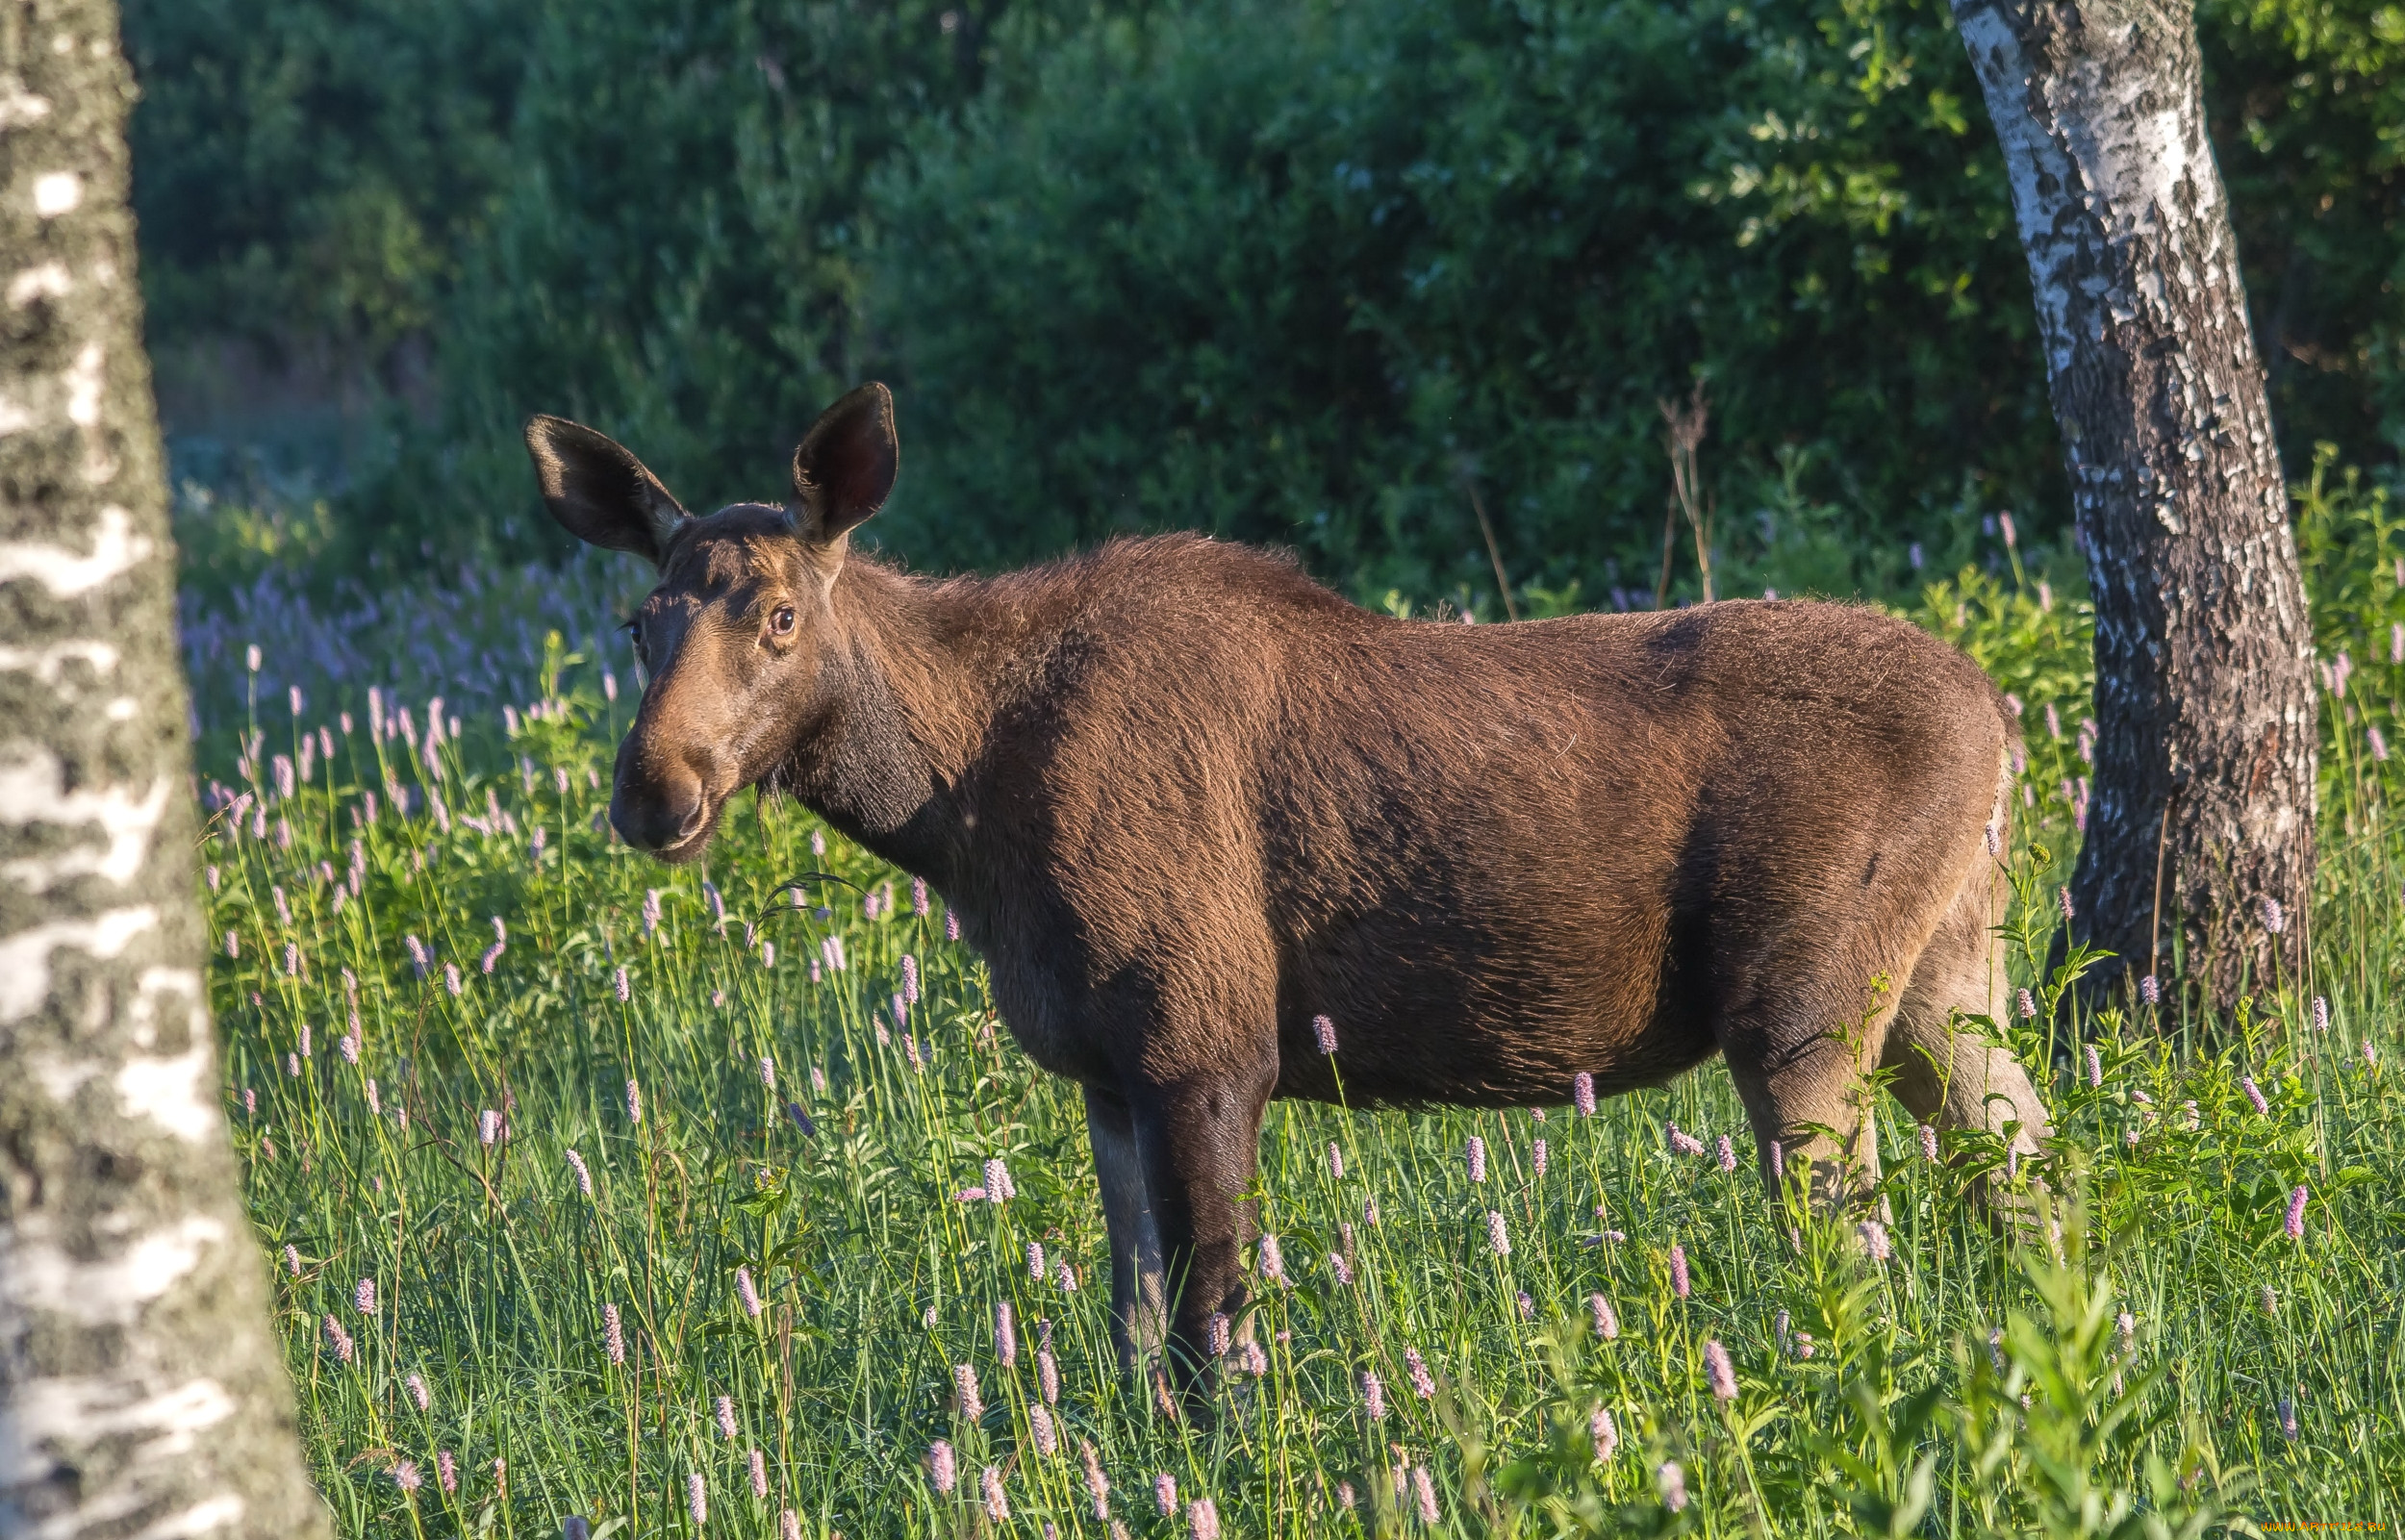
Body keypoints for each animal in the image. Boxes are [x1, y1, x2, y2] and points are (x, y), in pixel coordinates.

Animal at [526, 382, 2049, 1385]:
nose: (652, 789)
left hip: (1800, 1010)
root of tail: (2004, 719)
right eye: (640, 619)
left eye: (782, 616)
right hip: (1943, 979)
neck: (956, 809)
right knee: (2037, 1186)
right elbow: (1135, 1330)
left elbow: (1214, 1339)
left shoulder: (1206, 1046)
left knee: (1863, 1247)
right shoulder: (1105, 1071)